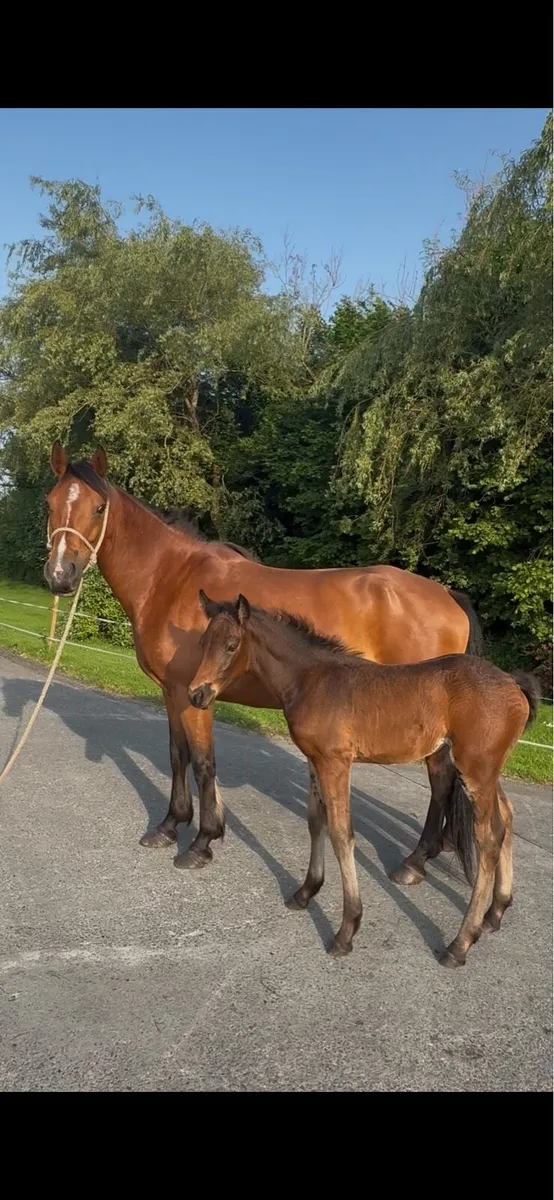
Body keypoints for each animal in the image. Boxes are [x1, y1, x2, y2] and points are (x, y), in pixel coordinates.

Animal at [44, 441, 483, 874]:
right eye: (50, 503)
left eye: (99, 508)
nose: (60, 575)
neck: (171, 579)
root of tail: (447, 595)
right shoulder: (173, 693)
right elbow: (177, 755)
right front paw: (169, 826)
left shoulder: (195, 696)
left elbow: (203, 763)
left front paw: (202, 842)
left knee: (440, 776)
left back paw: (415, 861)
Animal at [188, 592, 540, 968]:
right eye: (202, 642)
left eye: (231, 645)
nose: (197, 694)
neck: (310, 679)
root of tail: (514, 684)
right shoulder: (314, 760)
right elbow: (316, 821)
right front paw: (306, 891)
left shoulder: (336, 762)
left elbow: (342, 835)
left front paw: (347, 930)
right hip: (486, 771)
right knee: (506, 818)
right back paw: (495, 913)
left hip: (476, 769)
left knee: (488, 839)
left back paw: (459, 944)